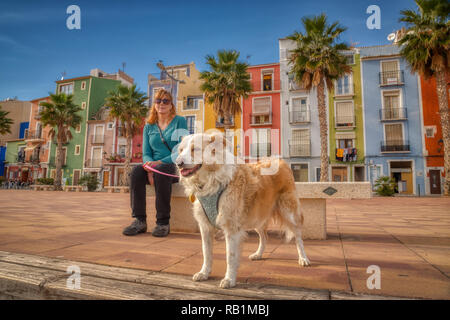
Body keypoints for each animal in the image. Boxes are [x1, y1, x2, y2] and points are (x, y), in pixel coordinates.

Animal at [176, 131, 310, 288]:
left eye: (195, 149)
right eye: (180, 150)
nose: (178, 163)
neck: (211, 180)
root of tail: (280, 161)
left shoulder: (231, 228)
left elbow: (230, 256)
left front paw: (229, 279)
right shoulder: (205, 227)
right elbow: (206, 253)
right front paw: (204, 273)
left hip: (289, 213)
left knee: (298, 237)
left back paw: (303, 258)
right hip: (257, 217)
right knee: (264, 237)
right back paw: (258, 254)